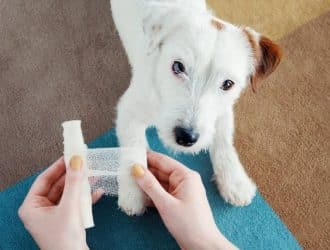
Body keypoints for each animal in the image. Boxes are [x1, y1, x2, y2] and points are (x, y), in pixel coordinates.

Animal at [111, 0, 282, 215]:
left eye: (228, 84)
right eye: (178, 66)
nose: (186, 137)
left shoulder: (222, 112)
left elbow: (223, 141)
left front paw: (234, 180)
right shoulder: (128, 110)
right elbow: (133, 148)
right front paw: (133, 190)